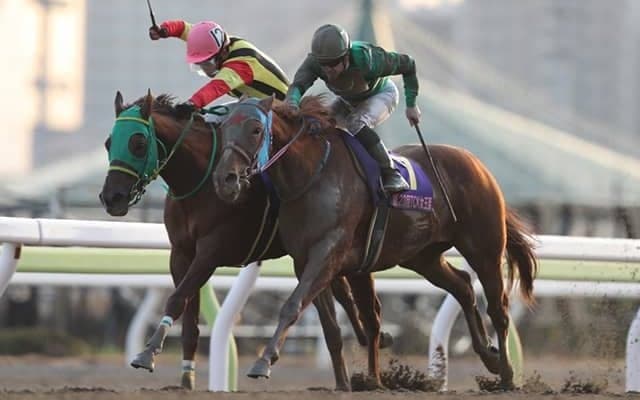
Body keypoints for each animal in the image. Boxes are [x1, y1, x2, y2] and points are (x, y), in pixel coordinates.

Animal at [98, 90, 391, 391]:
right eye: (109, 142)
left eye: (138, 143)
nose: (112, 197)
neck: (200, 181)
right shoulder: (181, 253)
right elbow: (188, 316)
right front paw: (186, 380)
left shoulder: (211, 251)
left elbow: (177, 298)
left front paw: (147, 355)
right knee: (346, 297)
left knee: (362, 305)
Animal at [211, 94, 538, 389]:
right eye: (224, 127)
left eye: (256, 129)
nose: (225, 180)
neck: (312, 175)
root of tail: (477, 164)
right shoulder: (305, 261)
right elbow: (328, 325)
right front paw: (343, 383)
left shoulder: (327, 253)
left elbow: (292, 305)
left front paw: (263, 362)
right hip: (423, 256)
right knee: (462, 286)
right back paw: (489, 356)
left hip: (484, 249)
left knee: (498, 307)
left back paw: (507, 375)